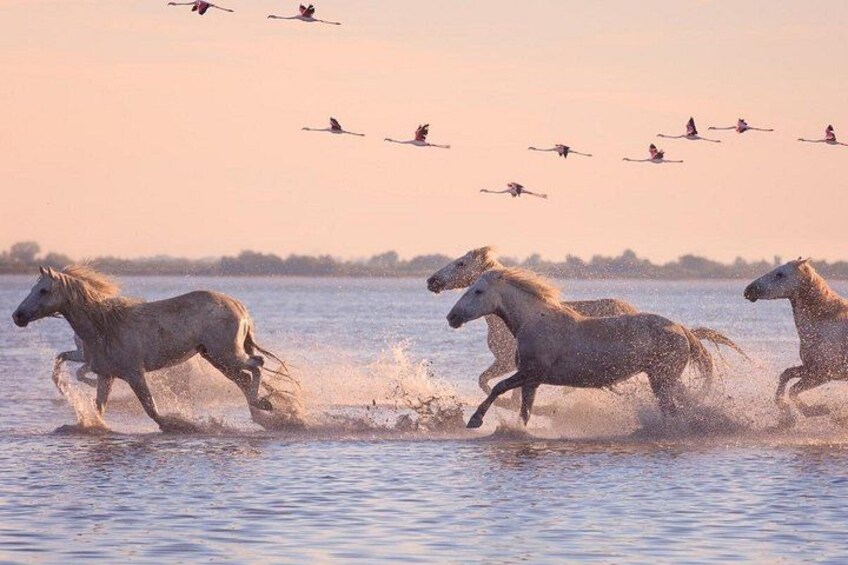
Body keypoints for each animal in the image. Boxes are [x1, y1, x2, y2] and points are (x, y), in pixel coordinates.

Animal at [12, 266, 291, 432]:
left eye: (43, 290)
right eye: (32, 288)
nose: (18, 316)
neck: (104, 326)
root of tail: (238, 306)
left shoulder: (134, 374)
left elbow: (151, 409)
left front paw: (178, 425)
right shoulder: (105, 375)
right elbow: (97, 405)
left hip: (227, 354)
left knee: (257, 365)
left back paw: (265, 406)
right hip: (215, 358)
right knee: (245, 378)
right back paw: (264, 414)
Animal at [427, 247, 746, 403]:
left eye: (460, 264)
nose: (431, 281)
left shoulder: (507, 362)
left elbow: (487, 383)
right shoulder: (514, 365)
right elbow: (489, 384)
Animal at [446, 268, 715, 429]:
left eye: (478, 291)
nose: (452, 317)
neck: (533, 321)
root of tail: (680, 329)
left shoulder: (531, 373)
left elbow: (498, 388)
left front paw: (475, 420)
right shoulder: (532, 381)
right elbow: (524, 411)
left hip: (662, 380)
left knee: (673, 410)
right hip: (665, 379)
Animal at [744, 258, 848, 423]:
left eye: (779, 274)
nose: (748, 290)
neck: (825, 325)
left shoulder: (823, 374)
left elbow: (793, 390)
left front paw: (816, 410)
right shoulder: (810, 367)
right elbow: (785, 375)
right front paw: (784, 410)